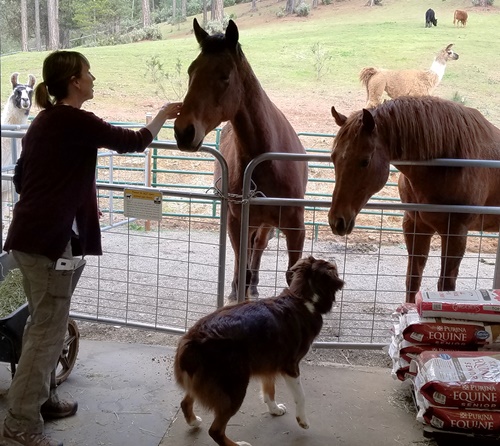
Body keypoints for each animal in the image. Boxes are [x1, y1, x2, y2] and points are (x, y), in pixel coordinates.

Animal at [175, 254, 344, 446]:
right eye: (333, 267)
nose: (333, 258)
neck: (304, 297)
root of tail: (190, 342)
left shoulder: (269, 363)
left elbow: (269, 390)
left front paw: (274, 409)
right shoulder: (290, 366)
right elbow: (301, 396)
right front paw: (303, 420)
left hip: (203, 383)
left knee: (185, 402)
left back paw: (194, 421)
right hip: (234, 388)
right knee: (215, 430)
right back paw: (238, 444)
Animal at [176, 19, 308, 302]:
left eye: (224, 75)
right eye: (191, 71)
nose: (183, 131)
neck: (267, 162)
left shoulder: (296, 229)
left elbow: (291, 274)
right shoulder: (238, 222)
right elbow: (241, 265)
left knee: (257, 248)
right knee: (243, 259)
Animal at [328, 95, 500, 304]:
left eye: (365, 161)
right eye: (333, 157)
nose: (337, 221)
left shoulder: (456, 234)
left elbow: (446, 286)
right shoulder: (416, 226)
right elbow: (413, 278)